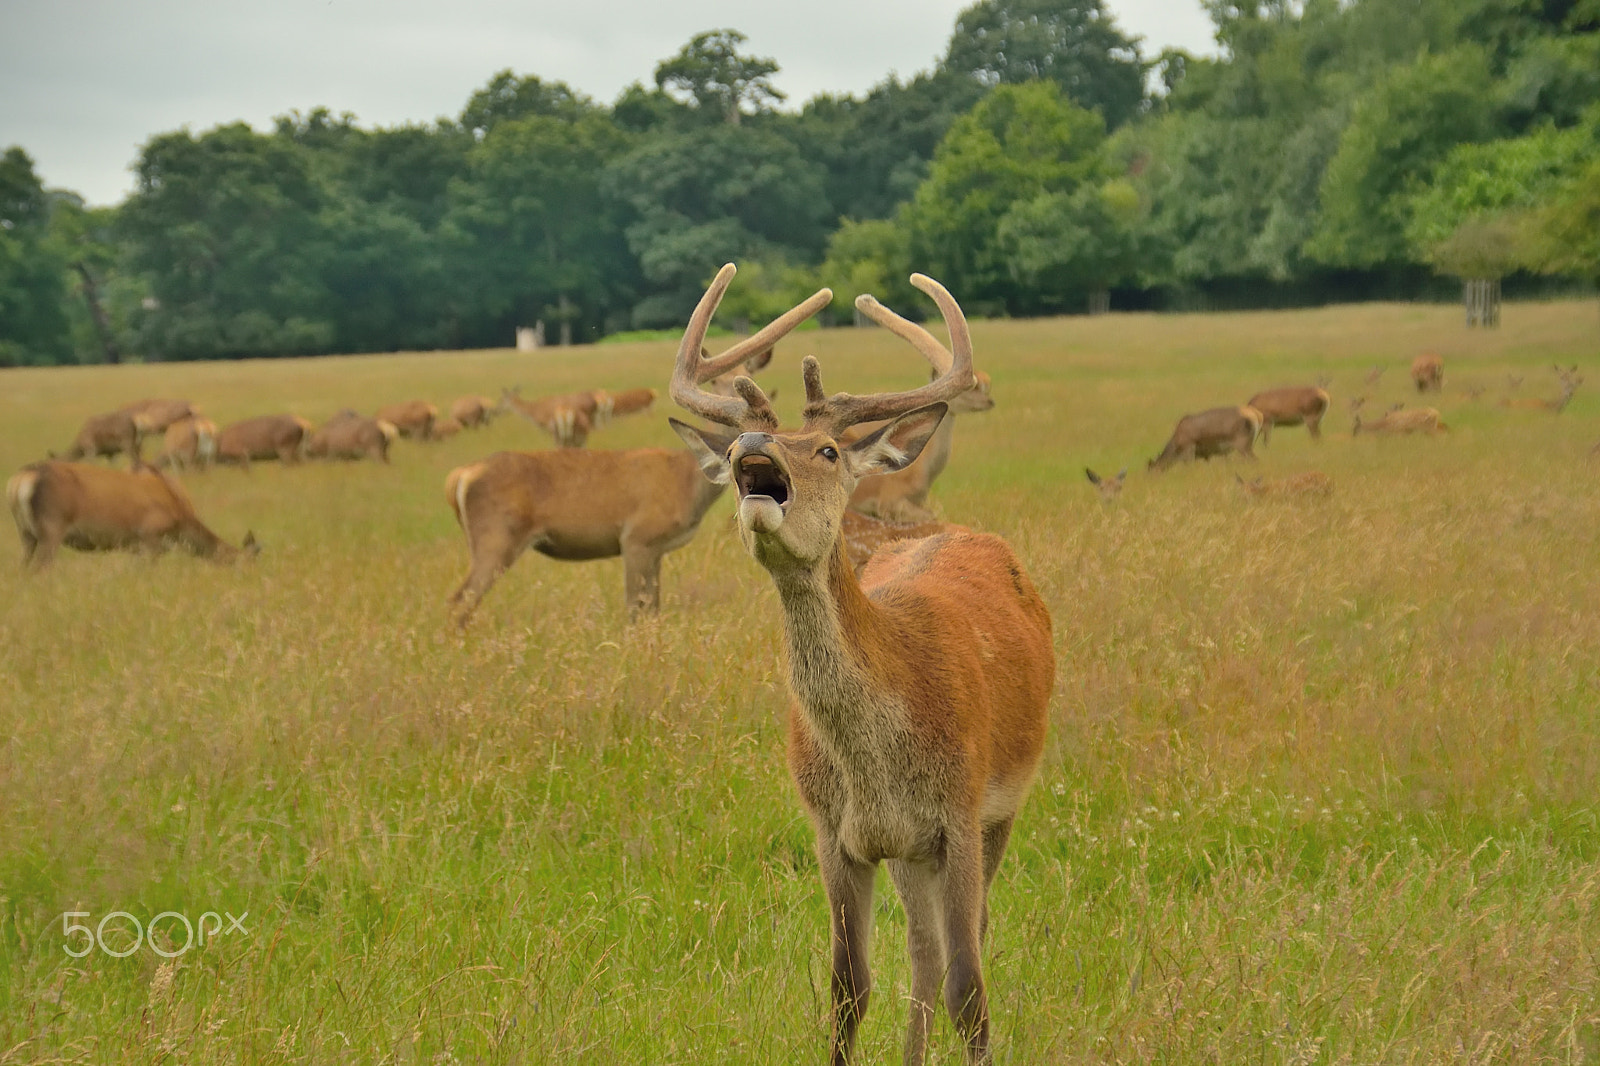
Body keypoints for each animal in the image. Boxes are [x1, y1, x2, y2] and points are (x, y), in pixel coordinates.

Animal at [8, 459, 258, 569]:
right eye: (245, 565)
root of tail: (19, 482)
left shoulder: (136, 546)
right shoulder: (150, 537)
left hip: (26, 534)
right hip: (51, 532)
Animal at [667, 264, 1054, 1066]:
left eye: (827, 450)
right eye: (747, 438)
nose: (753, 444)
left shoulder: (960, 812)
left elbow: (972, 990)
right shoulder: (835, 833)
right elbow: (849, 988)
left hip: (1002, 804)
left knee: (964, 943)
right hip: (907, 852)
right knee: (923, 950)